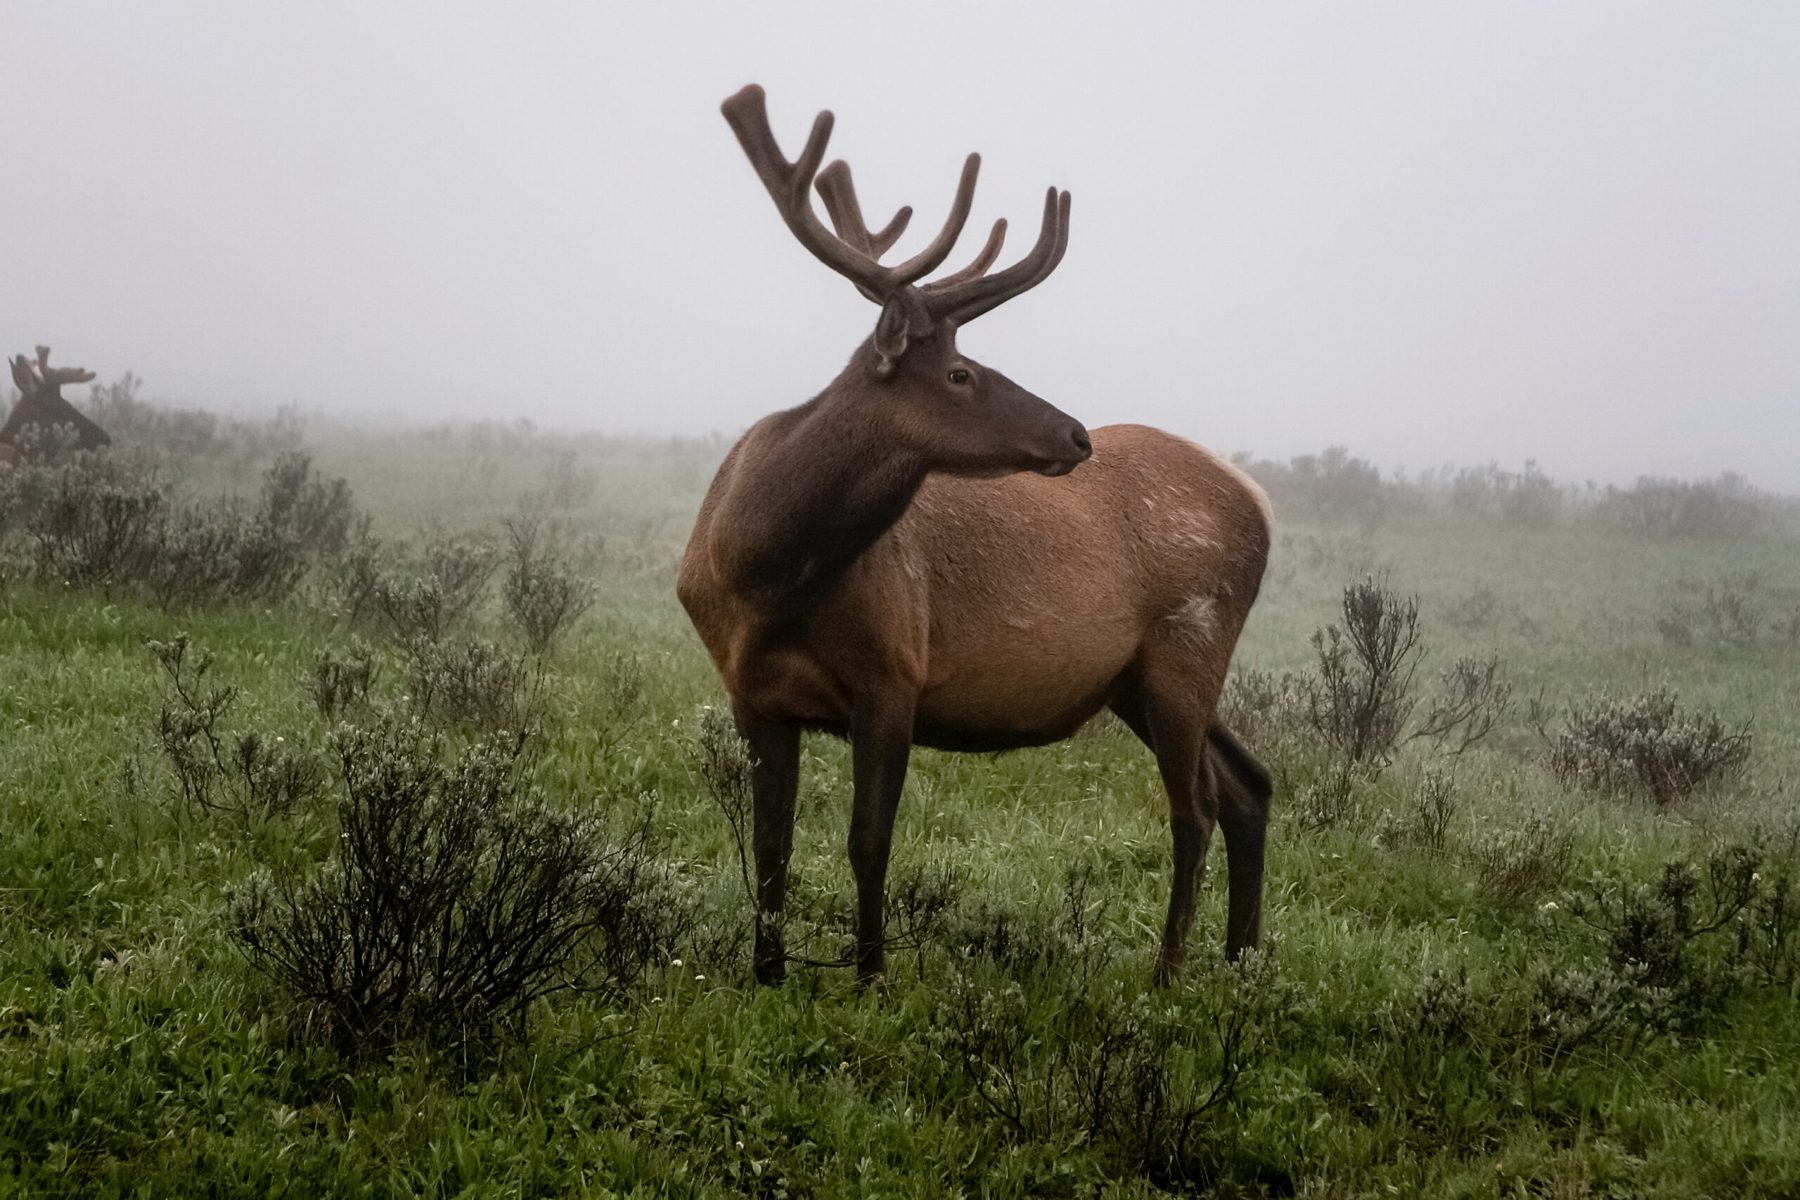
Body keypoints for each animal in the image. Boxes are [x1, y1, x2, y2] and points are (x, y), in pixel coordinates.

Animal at [678, 85, 1274, 987]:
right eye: (960, 372)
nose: (1074, 434)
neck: (762, 573)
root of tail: (1261, 501)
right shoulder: (752, 693)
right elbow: (772, 845)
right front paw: (767, 975)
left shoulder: (894, 672)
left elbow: (868, 843)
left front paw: (870, 978)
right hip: (1137, 678)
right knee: (1250, 785)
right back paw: (1239, 965)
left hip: (1189, 647)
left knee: (1196, 806)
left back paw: (1169, 975)